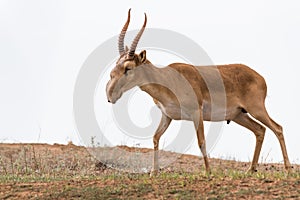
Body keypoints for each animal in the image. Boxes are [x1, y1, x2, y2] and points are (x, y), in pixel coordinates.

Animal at [105, 9, 290, 175]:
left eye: (128, 67)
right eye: (116, 64)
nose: (109, 95)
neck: (169, 79)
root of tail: (260, 77)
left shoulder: (196, 112)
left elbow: (201, 141)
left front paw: (208, 172)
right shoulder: (167, 116)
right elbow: (155, 138)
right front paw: (153, 172)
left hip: (256, 109)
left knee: (278, 128)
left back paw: (287, 168)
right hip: (239, 115)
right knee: (260, 130)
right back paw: (251, 170)